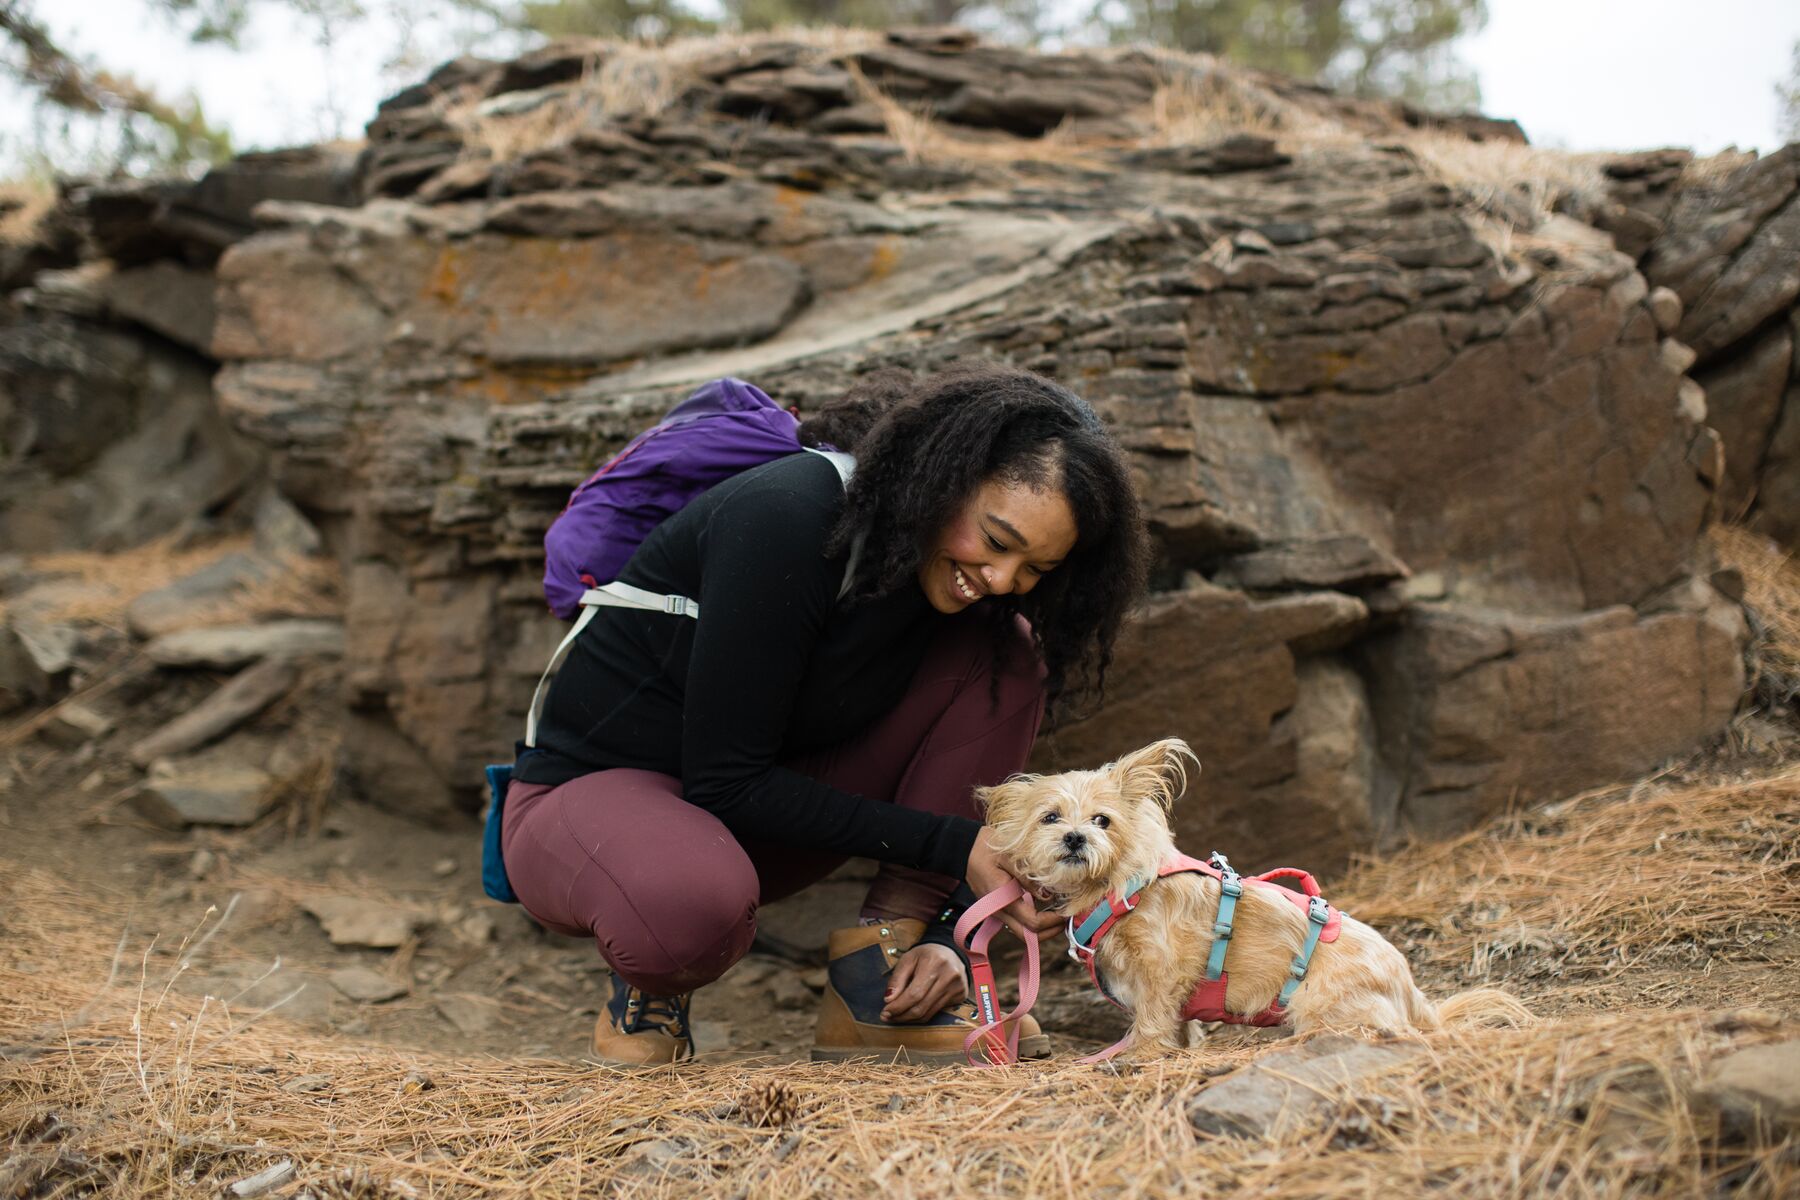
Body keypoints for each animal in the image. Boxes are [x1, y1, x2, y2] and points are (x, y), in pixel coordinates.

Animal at [979, 737, 1526, 1057]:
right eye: (1050, 817)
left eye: (1103, 821)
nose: (1075, 838)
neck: (1120, 888)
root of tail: (1412, 993)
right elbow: (1179, 1027)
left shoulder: (1161, 973)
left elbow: (1152, 1022)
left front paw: (1141, 1058)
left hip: (1321, 1006)